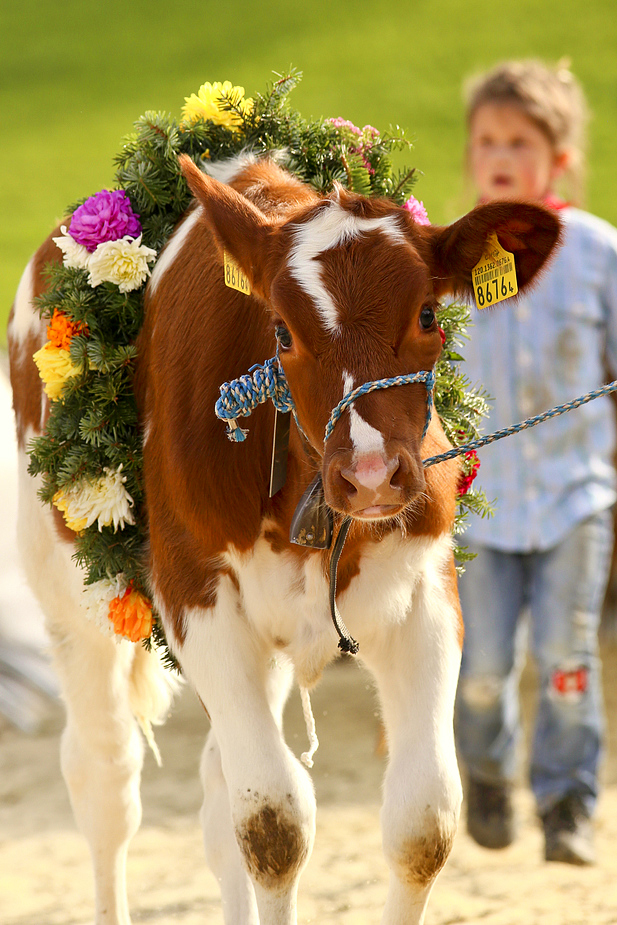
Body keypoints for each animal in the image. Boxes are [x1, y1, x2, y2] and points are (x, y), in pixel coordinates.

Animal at [7, 152, 560, 924]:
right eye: (283, 332)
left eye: (427, 313)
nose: (370, 474)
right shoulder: (197, 598)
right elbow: (273, 824)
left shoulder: (424, 596)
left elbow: (423, 822)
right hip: (71, 606)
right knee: (105, 780)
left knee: (215, 789)